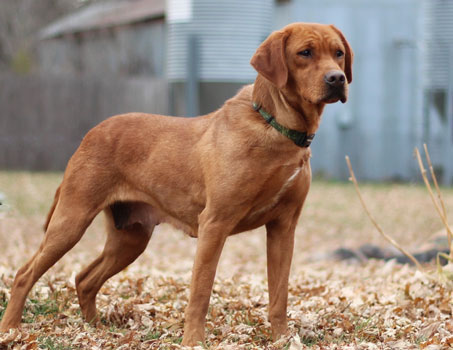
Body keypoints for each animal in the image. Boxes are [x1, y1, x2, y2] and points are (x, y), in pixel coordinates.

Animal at [0, 23, 352, 346]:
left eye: (338, 53)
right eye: (304, 53)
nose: (337, 79)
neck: (277, 127)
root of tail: (91, 133)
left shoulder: (283, 226)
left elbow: (279, 294)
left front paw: (282, 339)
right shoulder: (215, 223)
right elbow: (200, 292)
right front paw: (193, 340)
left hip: (131, 237)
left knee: (85, 279)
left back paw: (96, 330)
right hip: (71, 219)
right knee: (24, 273)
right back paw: (11, 329)